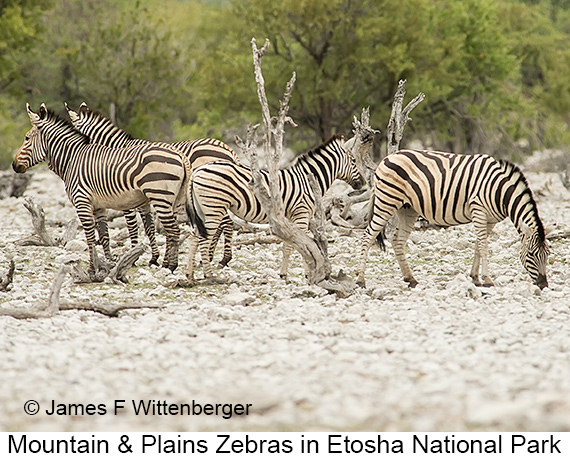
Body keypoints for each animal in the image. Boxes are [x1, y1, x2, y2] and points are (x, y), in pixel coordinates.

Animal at [12, 104, 190, 278]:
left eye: (27, 138)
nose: (14, 165)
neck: (72, 159)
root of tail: (180, 155)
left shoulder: (83, 202)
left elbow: (91, 237)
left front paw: (92, 270)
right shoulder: (99, 206)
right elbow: (104, 236)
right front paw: (109, 264)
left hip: (160, 197)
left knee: (174, 231)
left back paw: (171, 266)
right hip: (173, 199)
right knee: (173, 230)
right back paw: (169, 264)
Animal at [66, 102, 240, 268]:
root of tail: (228, 149)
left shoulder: (128, 202)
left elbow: (133, 227)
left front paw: (135, 257)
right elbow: (150, 228)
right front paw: (155, 258)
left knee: (225, 223)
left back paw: (219, 259)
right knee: (222, 224)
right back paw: (212, 258)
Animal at [186, 133, 364, 282]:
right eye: (354, 161)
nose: (362, 182)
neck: (307, 180)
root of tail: (197, 171)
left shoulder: (289, 218)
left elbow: (295, 245)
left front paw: (294, 274)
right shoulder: (301, 214)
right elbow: (299, 246)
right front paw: (299, 275)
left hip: (204, 209)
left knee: (194, 238)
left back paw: (190, 275)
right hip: (213, 208)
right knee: (203, 240)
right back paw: (209, 275)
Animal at [352, 151, 548, 288]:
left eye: (547, 255)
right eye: (531, 254)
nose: (543, 285)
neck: (499, 191)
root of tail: (387, 157)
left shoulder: (489, 220)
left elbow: (478, 246)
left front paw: (475, 278)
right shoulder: (478, 210)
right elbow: (484, 247)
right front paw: (487, 279)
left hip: (407, 209)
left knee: (397, 240)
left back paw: (411, 278)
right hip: (387, 201)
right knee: (368, 236)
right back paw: (360, 279)